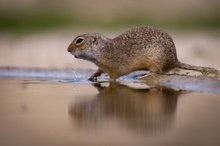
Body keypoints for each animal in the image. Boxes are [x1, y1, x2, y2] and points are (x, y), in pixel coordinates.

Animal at [68, 26, 219, 81]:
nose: (68, 50)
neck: (101, 51)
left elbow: (114, 77)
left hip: (155, 61)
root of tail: (175, 60)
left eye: (79, 40)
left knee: (157, 72)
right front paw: (92, 76)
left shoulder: (115, 68)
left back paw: (145, 75)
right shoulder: (102, 66)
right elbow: (99, 71)